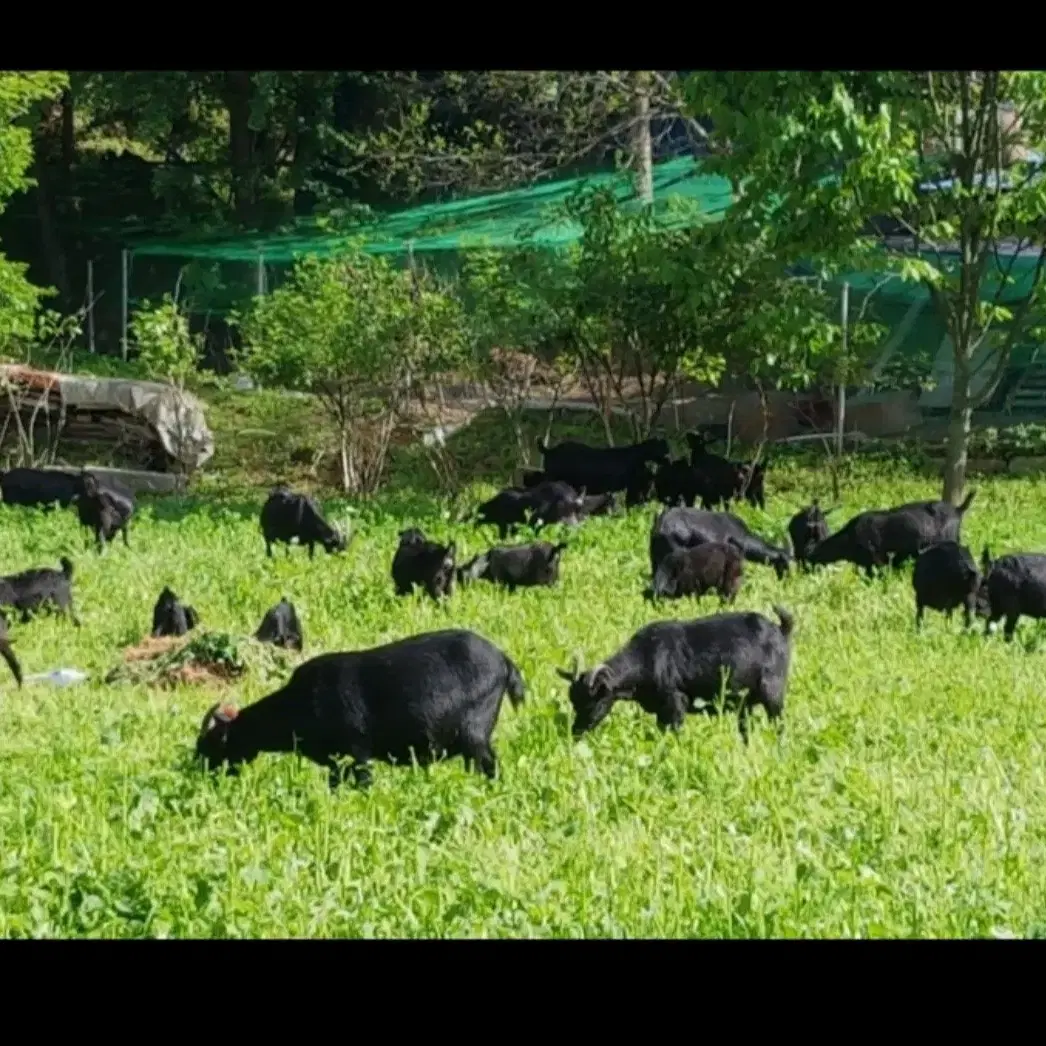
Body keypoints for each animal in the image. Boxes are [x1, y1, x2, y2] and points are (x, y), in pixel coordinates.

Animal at [193, 623, 527, 786]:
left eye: (210, 746)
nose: (197, 775)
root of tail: (504, 661)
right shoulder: (335, 761)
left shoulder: (358, 750)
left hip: (475, 733)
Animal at [556, 606, 790, 744]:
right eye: (573, 703)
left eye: (592, 702)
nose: (575, 732)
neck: (647, 657)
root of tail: (781, 630)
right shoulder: (661, 712)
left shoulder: (675, 704)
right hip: (745, 704)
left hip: (773, 692)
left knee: (779, 725)